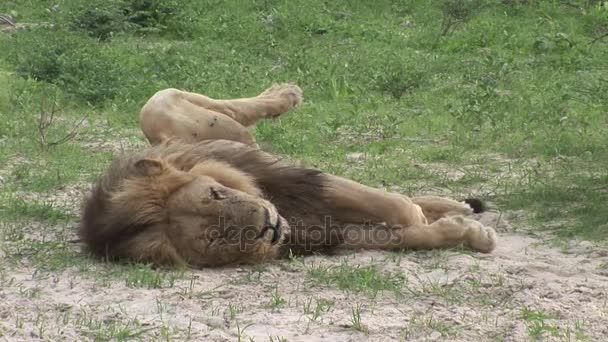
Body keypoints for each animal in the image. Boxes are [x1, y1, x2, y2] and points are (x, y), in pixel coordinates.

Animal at [78, 83, 496, 268]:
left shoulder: (302, 182)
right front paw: (463, 232)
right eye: (214, 237)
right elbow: (405, 235)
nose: (267, 223)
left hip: (180, 116)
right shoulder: (322, 231)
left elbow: (395, 206)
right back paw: (458, 208)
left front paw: (443, 221)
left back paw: (285, 94)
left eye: (216, 194)